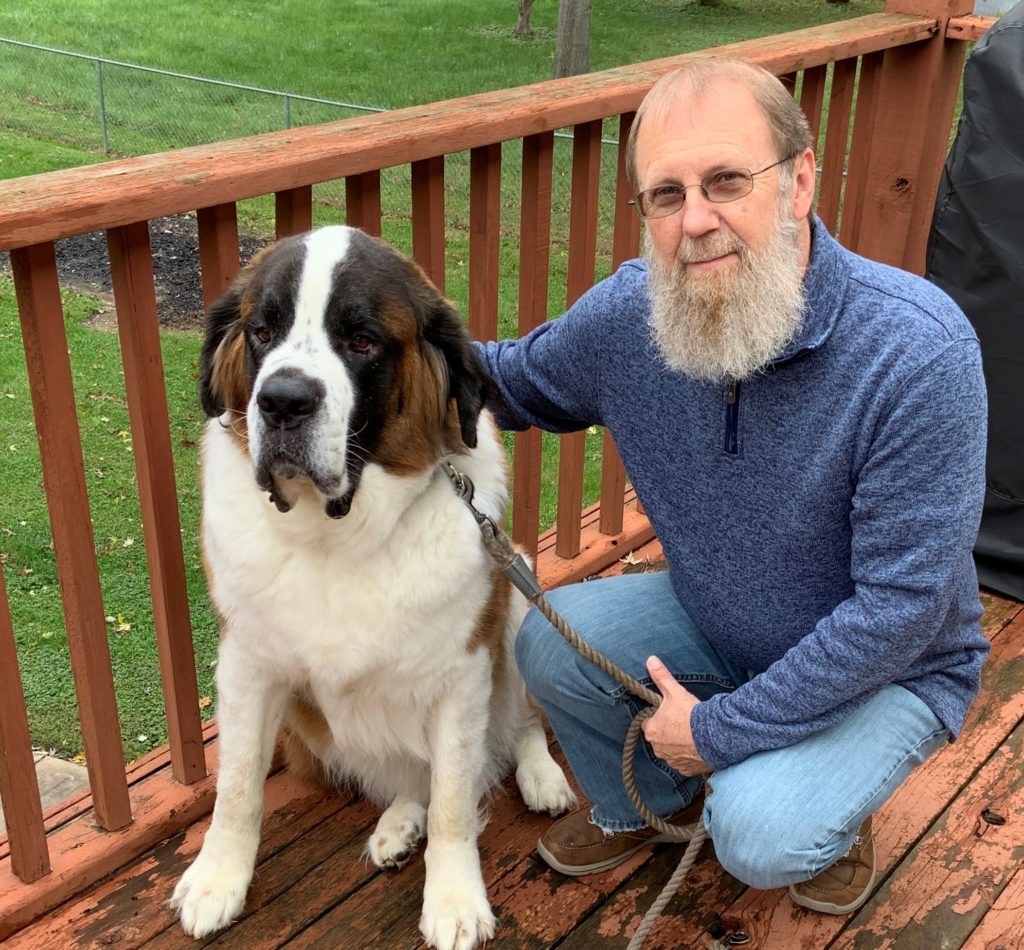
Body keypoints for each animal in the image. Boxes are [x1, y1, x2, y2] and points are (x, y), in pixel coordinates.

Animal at [171, 226, 574, 949]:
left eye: (361, 340)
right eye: (262, 331)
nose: (283, 400)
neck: (337, 538)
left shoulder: (463, 676)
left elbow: (454, 800)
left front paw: (454, 901)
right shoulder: (247, 663)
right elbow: (238, 784)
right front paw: (217, 881)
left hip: (521, 600)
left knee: (518, 726)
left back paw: (539, 775)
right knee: (412, 779)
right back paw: (397, 826)